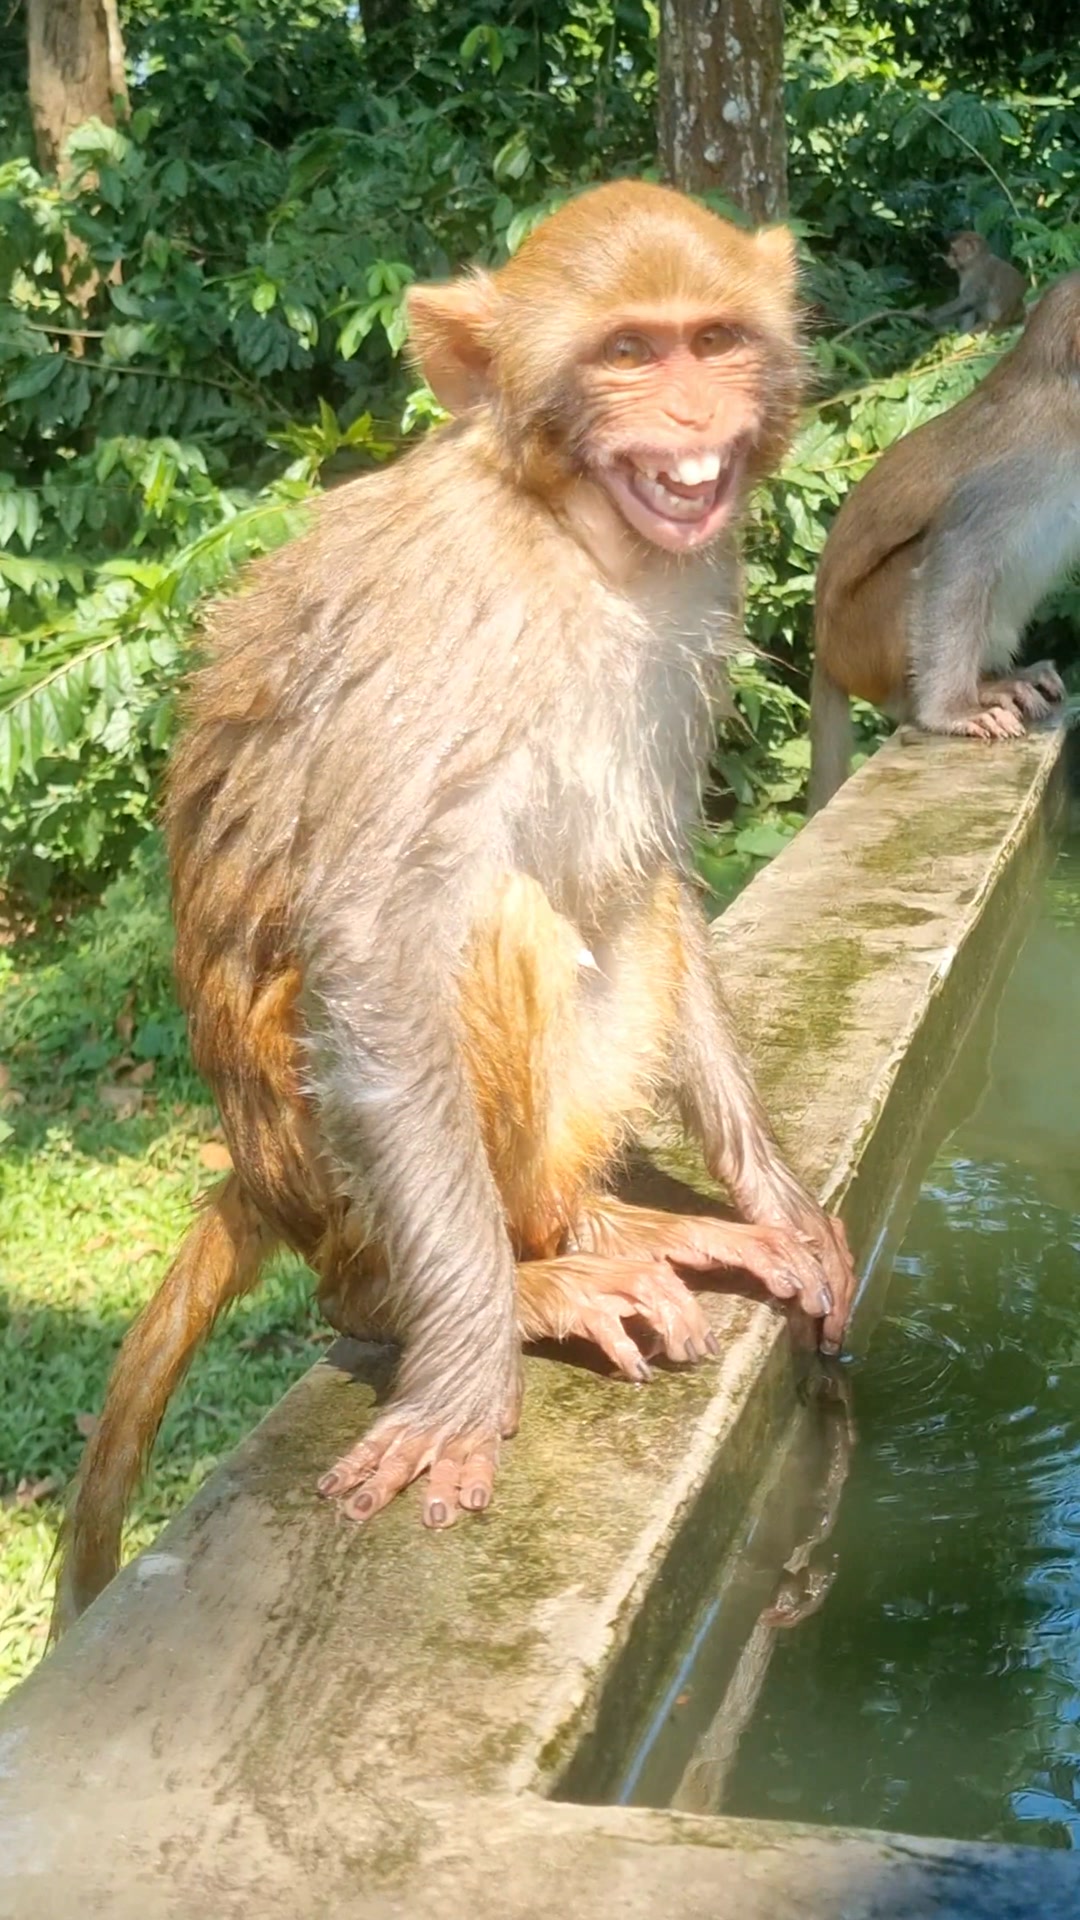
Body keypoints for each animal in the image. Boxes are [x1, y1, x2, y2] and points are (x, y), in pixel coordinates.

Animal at [51, 180, 856, 1637]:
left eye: (712, 340)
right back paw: (472, 1288)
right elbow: (380, 947)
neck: (577, 543)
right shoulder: (449, 623)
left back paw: (591, 1222)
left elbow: (661, 868)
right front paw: (472, 1369)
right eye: (628, 355)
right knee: (493, 922)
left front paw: (775, 1198)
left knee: (614, 908)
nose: (691, 421)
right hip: (324, 1165)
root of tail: (260, 1170)